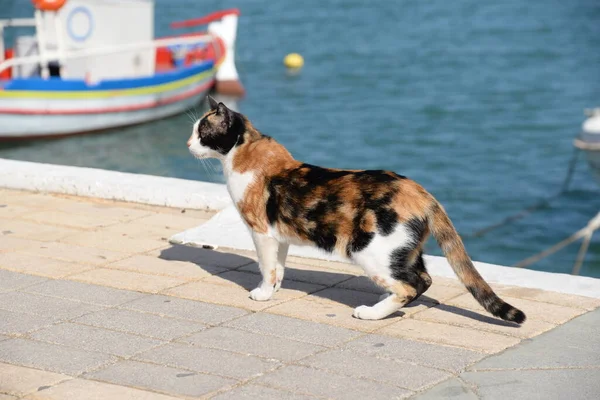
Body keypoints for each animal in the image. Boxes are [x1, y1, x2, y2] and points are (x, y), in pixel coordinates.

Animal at [188, 97, 524, 324]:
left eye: (202, 131)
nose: (188, 144)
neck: (246, 151)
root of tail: (422, 192)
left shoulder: (262, 232)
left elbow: (267, 267)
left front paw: (262, 293)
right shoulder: (279, 236)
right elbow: (279, 267)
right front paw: (275, 290)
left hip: (369, 249)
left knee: (409, 285)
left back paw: (371, 313)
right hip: (403, 250)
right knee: (423, 279)